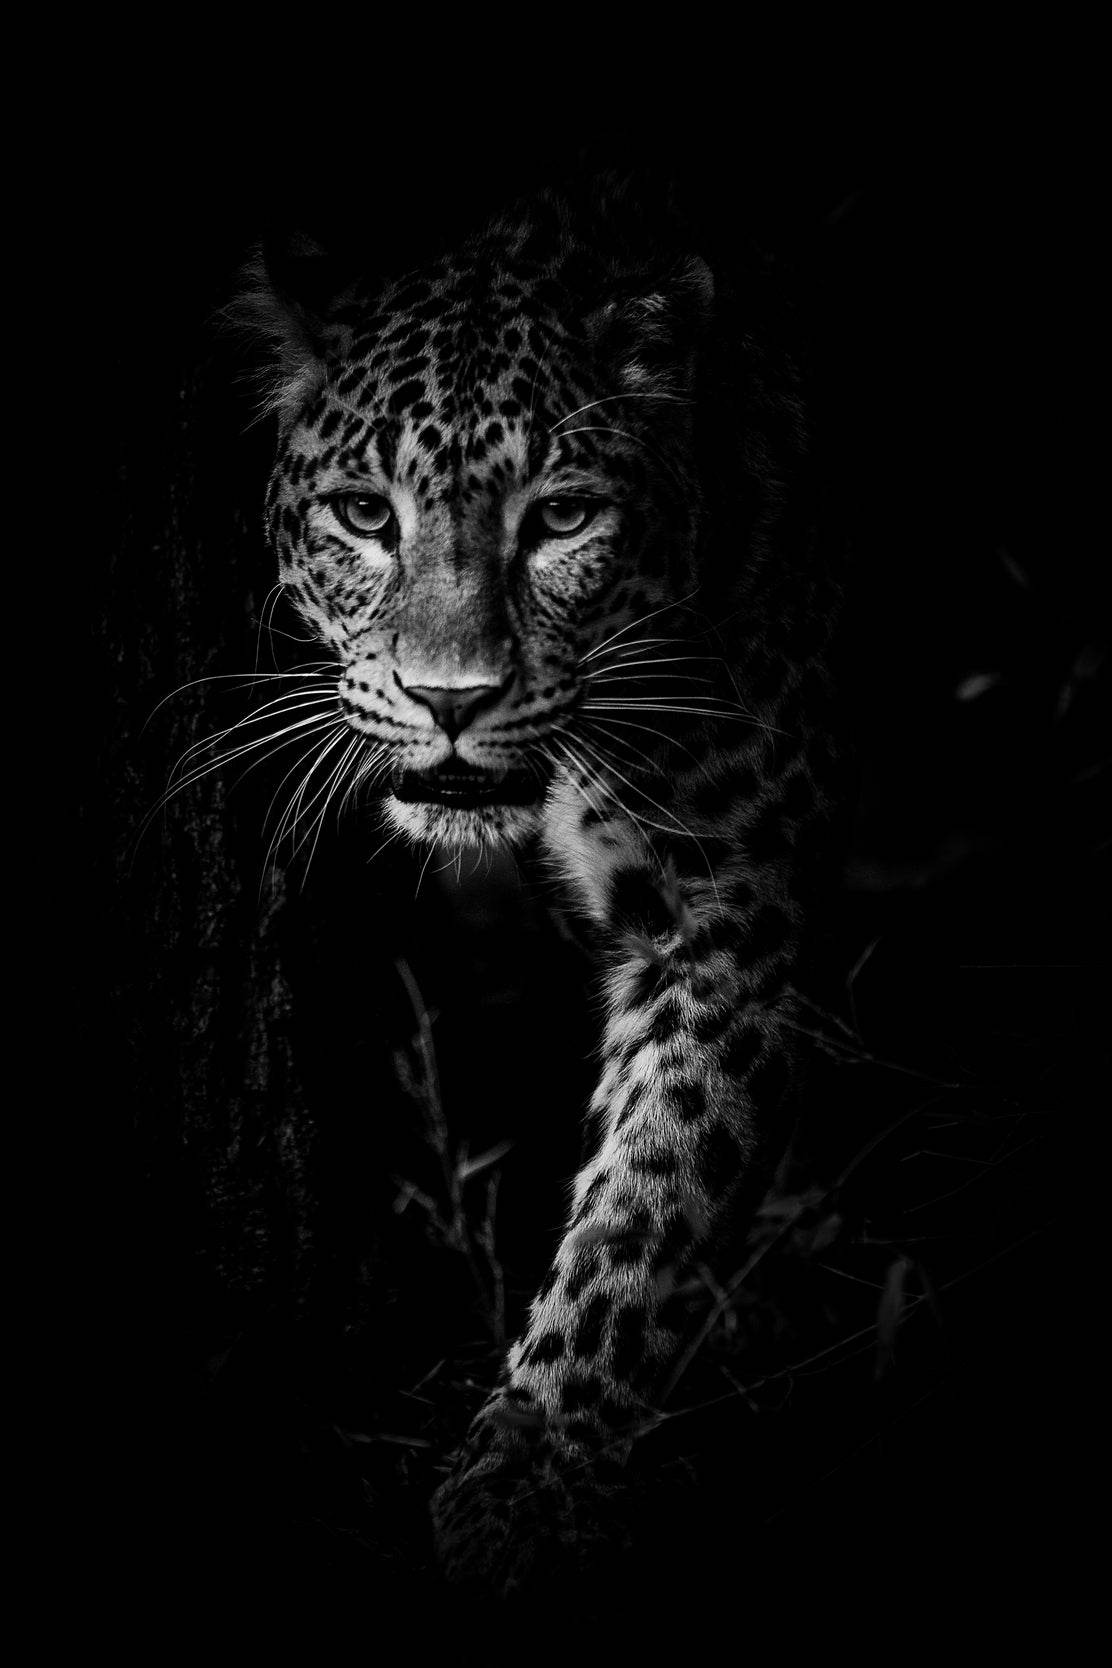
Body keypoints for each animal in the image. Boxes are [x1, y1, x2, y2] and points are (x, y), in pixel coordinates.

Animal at [234, 175, 842, 1589]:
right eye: (364, 515)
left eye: (560, 519)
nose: (450, 699)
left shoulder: (726, 906)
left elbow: (651, 1196)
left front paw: (532, 1475)